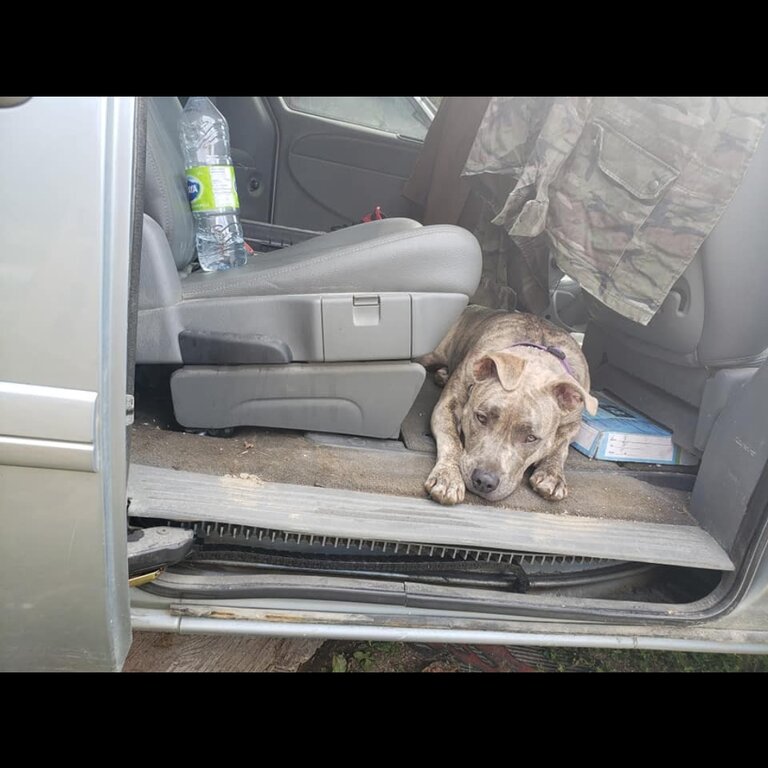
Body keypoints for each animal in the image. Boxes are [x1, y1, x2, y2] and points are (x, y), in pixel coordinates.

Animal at [416, 304, 596, 508]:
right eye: (481, 418)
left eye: (531, 438)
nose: (484, 480)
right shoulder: (447, 405)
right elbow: (451, 439)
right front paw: (448, 477)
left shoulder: (574, 424)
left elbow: (561, 447)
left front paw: (552, 473)